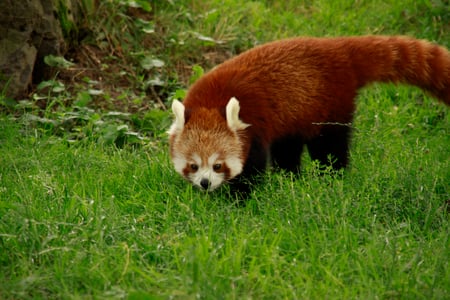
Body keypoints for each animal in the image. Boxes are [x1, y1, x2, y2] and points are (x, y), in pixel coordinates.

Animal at [167, 35, 448, 195]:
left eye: (218, 165)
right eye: (193, 165)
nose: (205, 183)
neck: (213, 102)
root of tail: (339, 48)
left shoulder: (254, 127)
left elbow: (252, 169)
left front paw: (237, 196)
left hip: (330, 105)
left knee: (329, 147)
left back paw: (332, 177)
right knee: (288, 149)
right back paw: (291, 177)